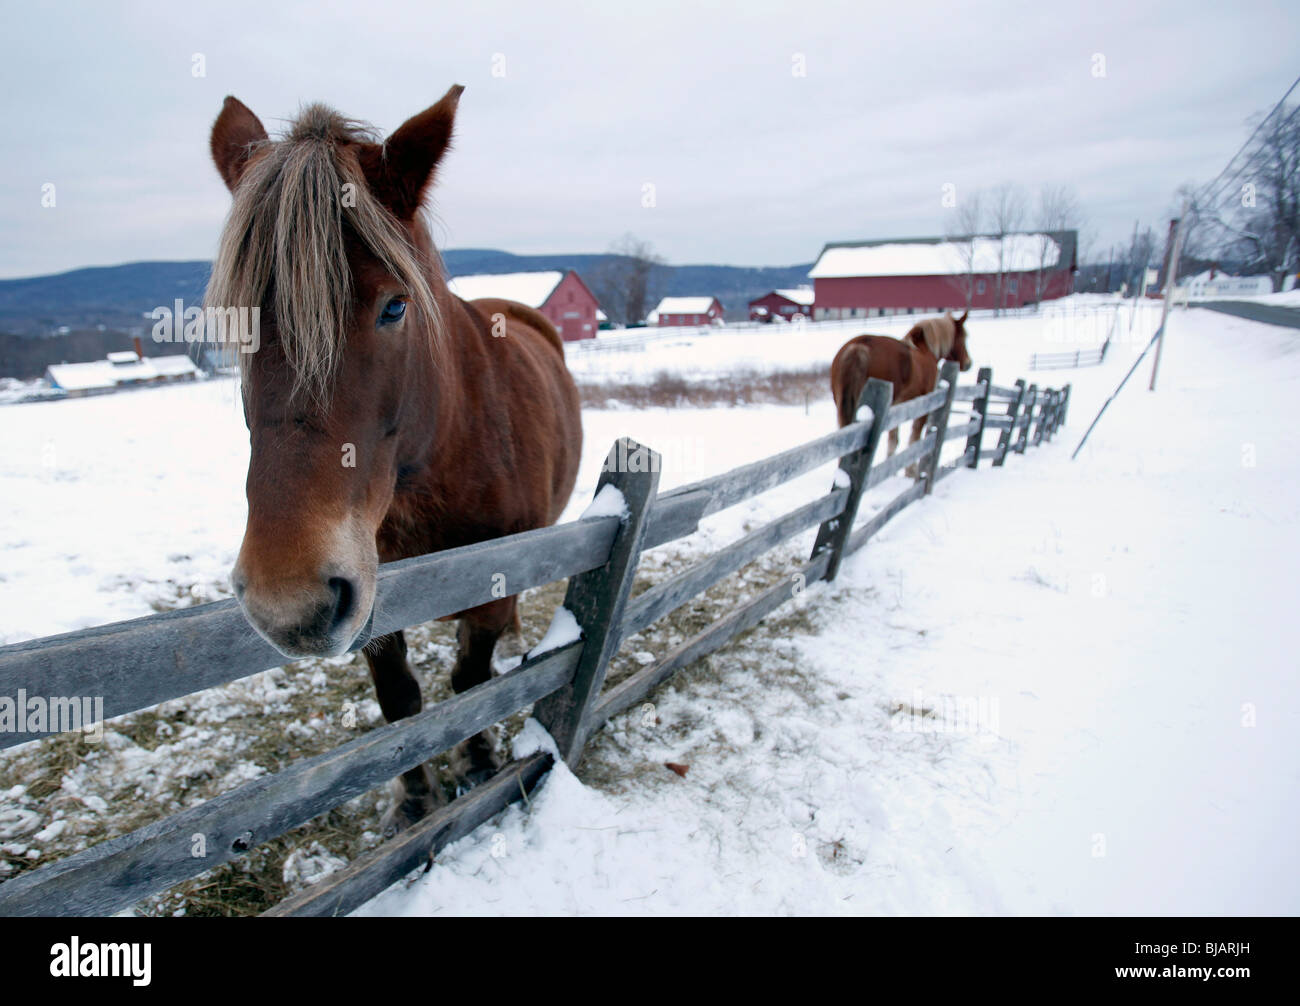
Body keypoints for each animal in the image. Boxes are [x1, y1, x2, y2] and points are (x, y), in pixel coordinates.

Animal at [206, 86, 583, 832]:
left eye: (394, 307)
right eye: (238, 323)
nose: (287, 602)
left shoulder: (488, 587)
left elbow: (469, 681)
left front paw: (476, 762)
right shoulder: (372, 597)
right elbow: (399, 701)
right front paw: (412, 797)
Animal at [830, 311, 971, 471]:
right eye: (964, 336)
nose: (968, 363)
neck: (925, 350)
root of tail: (858, 346)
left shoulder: (897, 408)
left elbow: (893, 439)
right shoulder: (923, 404)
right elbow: (914, 438)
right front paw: (911, 471)